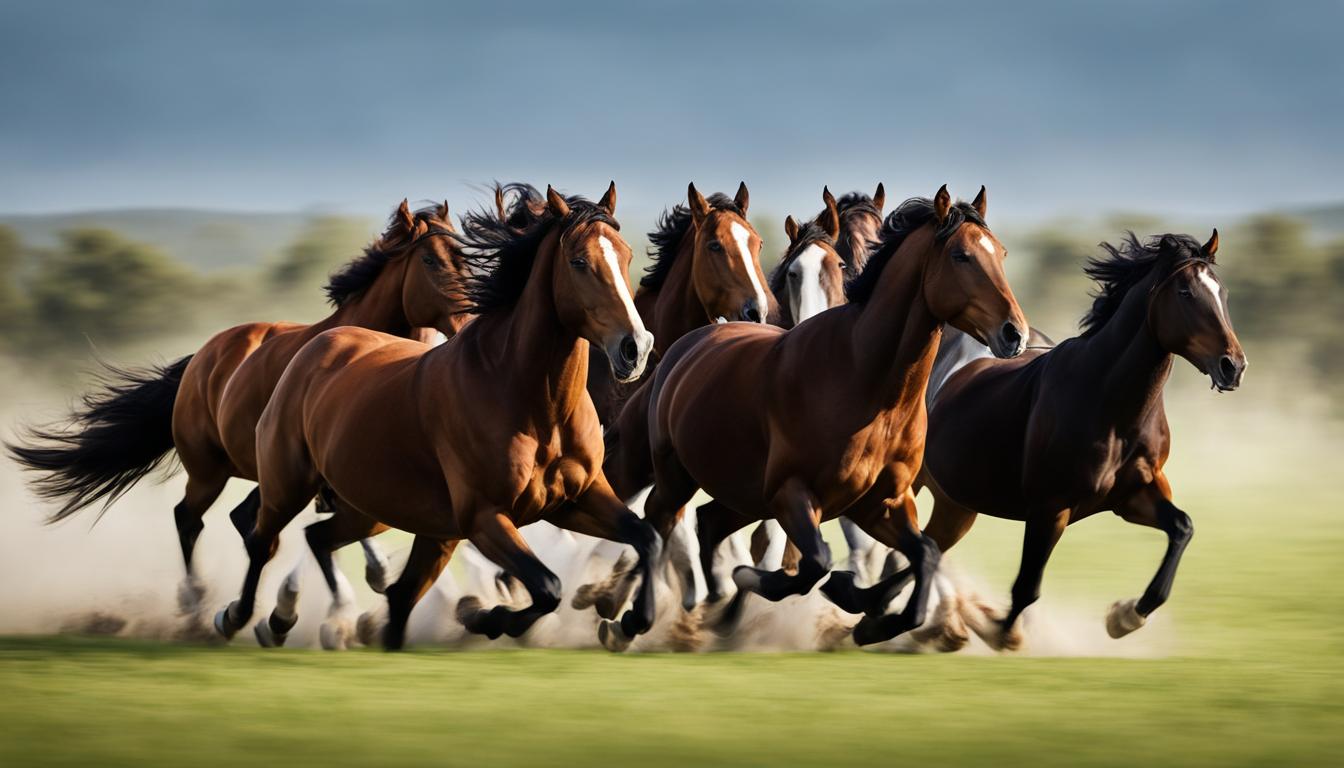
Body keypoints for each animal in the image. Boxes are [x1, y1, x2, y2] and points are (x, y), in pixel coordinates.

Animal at [6, 200, 473, 618]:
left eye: (466, 258)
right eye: (430, 261)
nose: (466, 322)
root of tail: (199, 360)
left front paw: (372, 583)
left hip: (253, 473)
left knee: (241, 518)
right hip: (208, 471)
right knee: (189, 518)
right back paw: (195, 601)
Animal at [211, 182, 666, 650]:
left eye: (627, 254)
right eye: (578, 261)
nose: (635, 348)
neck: (533, 407)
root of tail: (318, 344)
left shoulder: (576, 499)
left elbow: (646, 538)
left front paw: (632, 620)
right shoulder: (485, 518)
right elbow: (547, 586)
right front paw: (490, 619)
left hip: (369, 510)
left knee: (330, 546)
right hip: (287, 485)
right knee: (263, 540)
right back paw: (244, 618)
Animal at [599, 182, 1026, 645]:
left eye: (1002, 253)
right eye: (961, 255)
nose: (1014, 333)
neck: (868, 384)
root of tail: (689, 343)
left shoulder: (881, 502)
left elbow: (924, 554)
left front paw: (872, 620)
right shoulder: (794, 493)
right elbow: (814, 563)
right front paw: (764, 581)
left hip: (743, 493)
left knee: (706, 520)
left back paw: (711, 608)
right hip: (677, 474)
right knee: (657, 522)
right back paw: (632, 618)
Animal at [919, 231, 1241, 650]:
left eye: (1223, 292)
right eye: (1185, 292)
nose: (1233, 365)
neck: (1107, 403)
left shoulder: (1133, 496)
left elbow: (1182, 528)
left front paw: (1125, 616)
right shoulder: (1050, 509)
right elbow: (1026, 587)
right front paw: (996, 630)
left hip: (955, 503)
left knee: (925, 545)